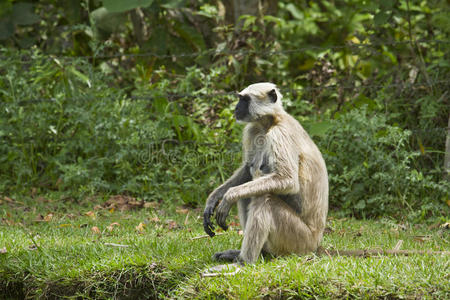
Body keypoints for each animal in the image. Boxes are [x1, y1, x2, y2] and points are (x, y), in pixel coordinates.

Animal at [203, 82, 326, 262]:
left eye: (245, 100)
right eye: (240, 99)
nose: (236, 108)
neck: (270, 122)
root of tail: (316, 243)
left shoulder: (280, 133)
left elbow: (287, 180)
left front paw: (228, 196)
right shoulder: (253, 129)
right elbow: (247, 169)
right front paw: (213, 199)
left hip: (299, 240)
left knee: (264, 198)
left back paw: (244, 262)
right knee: (249, 193)